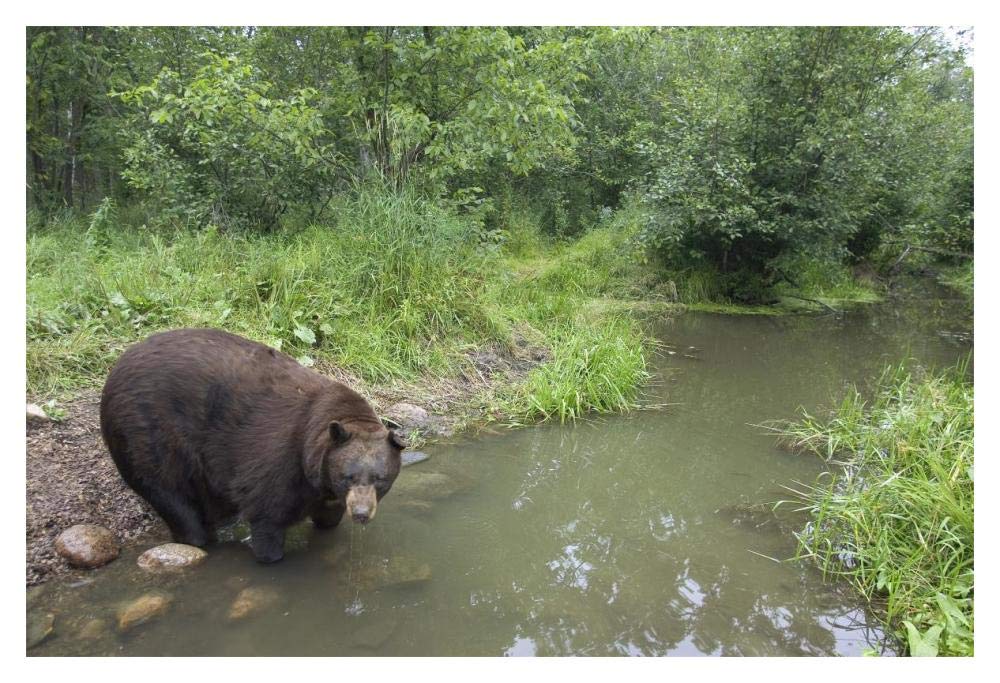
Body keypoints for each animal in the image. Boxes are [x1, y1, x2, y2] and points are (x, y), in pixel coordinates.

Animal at [99, 328, 405, 563]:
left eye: (379, 478)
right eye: (347, 476)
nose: (362, 514)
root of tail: (117, 366)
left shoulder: (322, 487)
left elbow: (328, 517)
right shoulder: (279, 460)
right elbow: (268, 514)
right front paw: (271, 555)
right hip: (147, 436)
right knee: (170, 493)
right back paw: (197, 536)